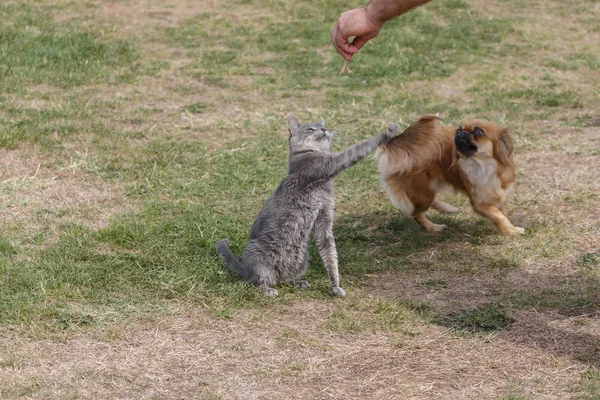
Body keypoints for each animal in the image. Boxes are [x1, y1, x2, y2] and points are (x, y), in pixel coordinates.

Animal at [216, 114, 398, 296]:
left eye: (323, 126)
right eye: (310, 128)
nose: (324, 129)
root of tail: (246, 270)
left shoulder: (324, 217)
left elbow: (330, 255)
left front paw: (335, 287)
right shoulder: (327, 163)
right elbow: (355, 150)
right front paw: (388, 132)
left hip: (302, 258)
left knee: (282, 280)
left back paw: (298, 282)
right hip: (257, 258)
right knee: (256, 282)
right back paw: (268, 290)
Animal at [378, 116, 524, 234]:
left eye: (479, 132)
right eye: (458, 129)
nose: (461, 132)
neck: (482, 166)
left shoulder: (501, 195)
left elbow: (502, 213)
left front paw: (503, 229)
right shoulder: (478, 203)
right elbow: (497, 215)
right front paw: (511, 230)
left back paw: (448, 209)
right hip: (423, 191)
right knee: (415, 213)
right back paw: (433, 227)